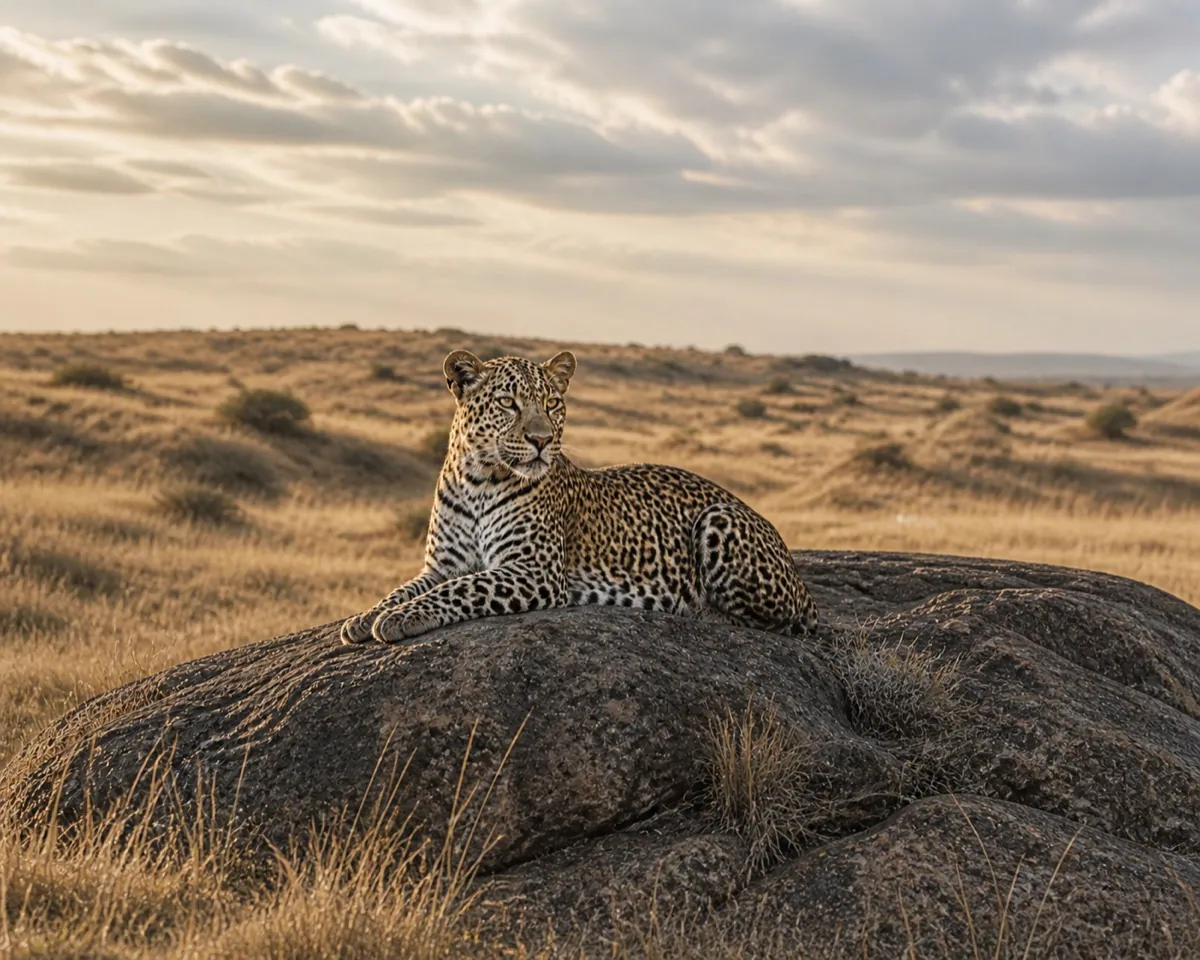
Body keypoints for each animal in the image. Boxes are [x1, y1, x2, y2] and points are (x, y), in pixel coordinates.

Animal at [340, 349, 819, 645]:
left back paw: (697, 608)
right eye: (508, 403)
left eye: (552, 403)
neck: (479, 479)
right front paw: (363, 617)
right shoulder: (441, 565)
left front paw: (402, 618)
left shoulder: (534, 569)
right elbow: (404, 588)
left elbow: (464, 587)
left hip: (719, 519)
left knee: (774, 622)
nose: (541, 440)